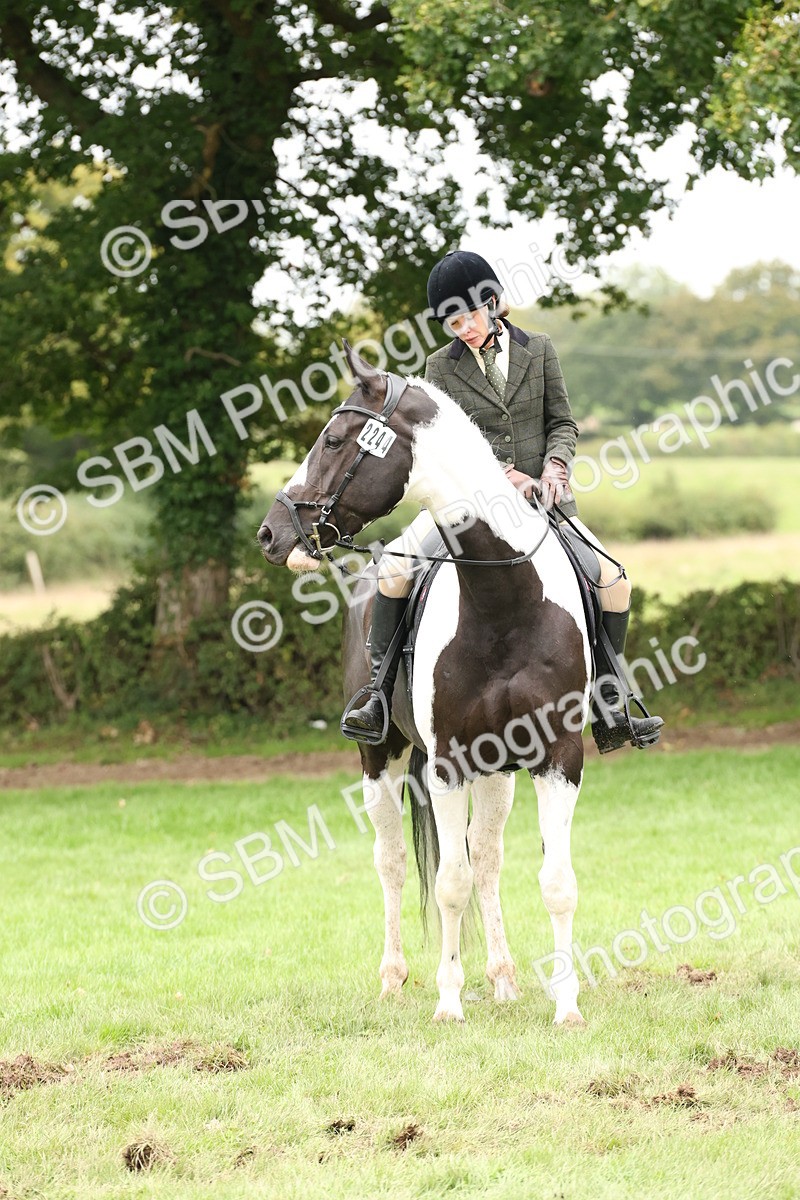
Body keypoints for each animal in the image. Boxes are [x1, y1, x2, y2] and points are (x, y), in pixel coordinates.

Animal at [258, 344, 592, 1026]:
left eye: (334, 440)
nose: (272, 534)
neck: (504, 599)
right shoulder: (447, 763)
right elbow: (448, 884)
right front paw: (448, 1001)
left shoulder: (558, 759)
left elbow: (554, 883)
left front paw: (567, 1005)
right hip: (379, 756)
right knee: (391, 862)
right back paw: (394, 978)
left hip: (498, 771)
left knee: (487, 858)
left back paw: (503, 977)